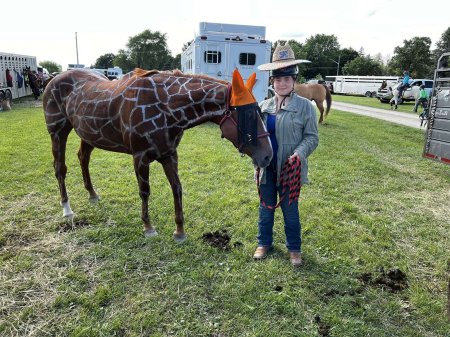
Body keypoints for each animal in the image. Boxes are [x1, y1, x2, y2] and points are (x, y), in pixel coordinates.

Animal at [42, 68, 272, 242]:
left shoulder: (169, 154)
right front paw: (148, 227)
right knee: (59, 168)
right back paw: (67, 210)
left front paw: (179, 231)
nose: (268, 156)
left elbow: (177, 188)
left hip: (88, 134)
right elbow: (145, 191)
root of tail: (52, 79)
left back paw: (92, 194)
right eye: (248, 115)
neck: (166, 108)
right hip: (57, 131)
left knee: (83, 157)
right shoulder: (140, 156)